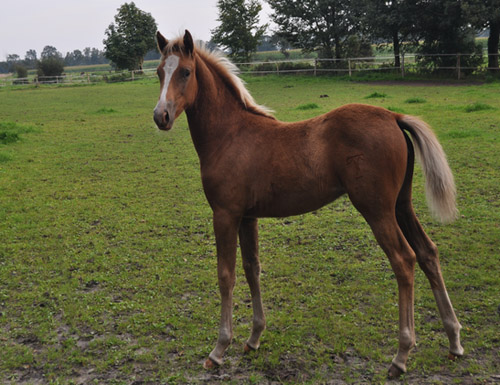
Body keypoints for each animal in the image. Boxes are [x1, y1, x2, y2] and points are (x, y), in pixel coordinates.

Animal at [152, 29, 464, 376]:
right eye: (159, 72)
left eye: (185, 72)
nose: (161, 116)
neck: (230, 135)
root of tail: (394, 117)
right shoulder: (247, 217)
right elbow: (251, 269)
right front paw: (254, 338)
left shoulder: (225, 214)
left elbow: (225, 275)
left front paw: (219, 349)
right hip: (401, 205)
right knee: (427, 252)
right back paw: (454, 340)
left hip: (377, 210)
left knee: (404, 260)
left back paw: (401, 355)